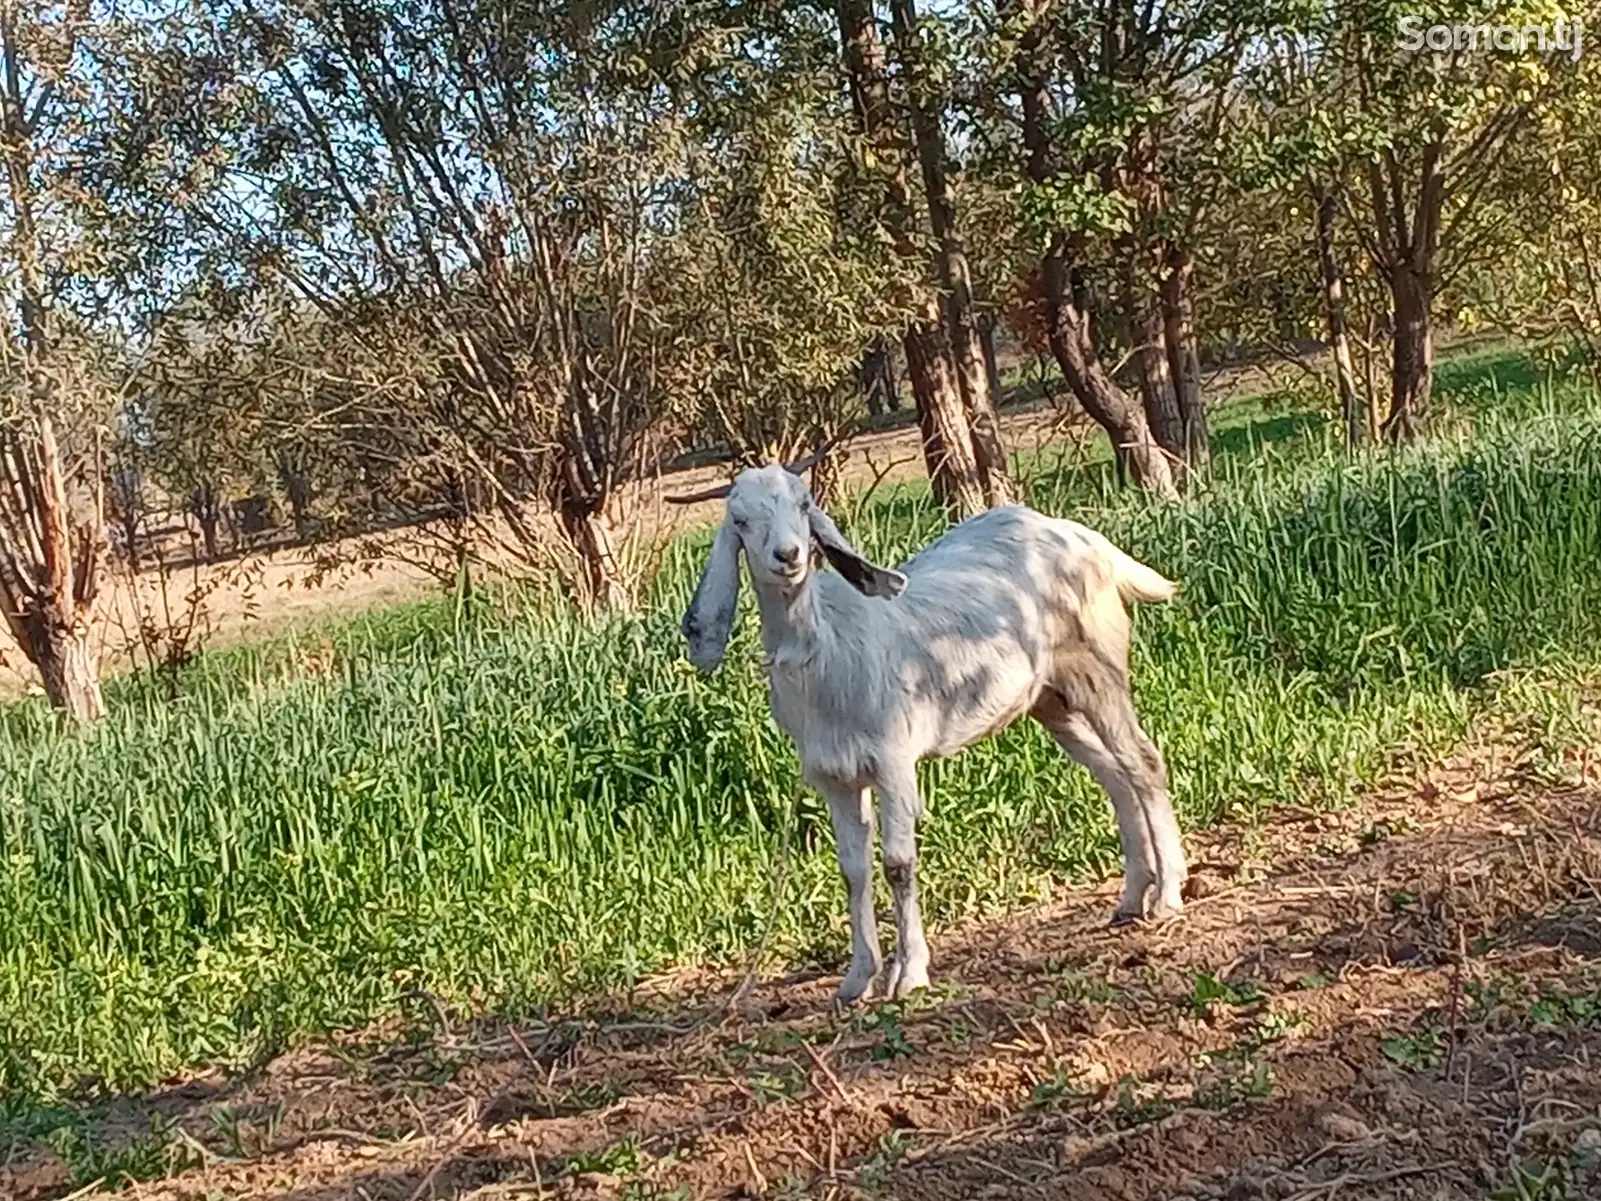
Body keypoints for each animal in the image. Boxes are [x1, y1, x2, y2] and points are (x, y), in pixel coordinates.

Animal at [675, 464, 1191, 1012]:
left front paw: (910, 974)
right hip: (1050, 698)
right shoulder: (834, 777)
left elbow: (898, 864)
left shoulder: (894, 761)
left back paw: (1168, 894)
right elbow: (853, 870)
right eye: (740, 520)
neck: (828, 648)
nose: (789, 555)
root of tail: (1083, 538)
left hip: (1098, 666)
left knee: (1142, 761)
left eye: (803, 503)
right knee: (1114, 775)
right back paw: (1132, 897)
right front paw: (858, 979)